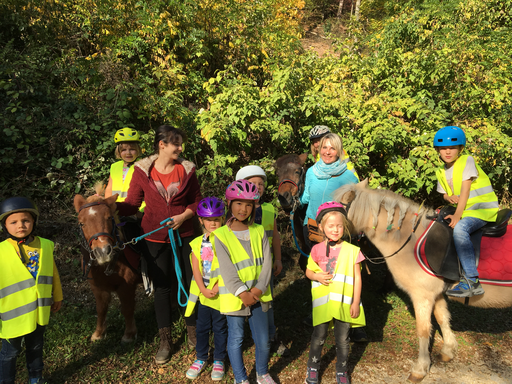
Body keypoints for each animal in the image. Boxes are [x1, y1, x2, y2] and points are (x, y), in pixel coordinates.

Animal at [73, 190, 141, 344]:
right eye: (82, 223)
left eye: (109, 217)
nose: (103, 251)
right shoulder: (98, 287)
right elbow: (101, 309)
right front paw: (99, 333)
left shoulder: (126, 285)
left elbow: (127, 308)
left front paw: (129, 334)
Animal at [334, 182, 512, 382]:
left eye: (336, 207)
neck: (408, 241)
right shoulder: (437, 294)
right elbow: (442, 318)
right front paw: (448, 351)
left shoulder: (422, 296)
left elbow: (423, 330)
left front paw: (420, 369)